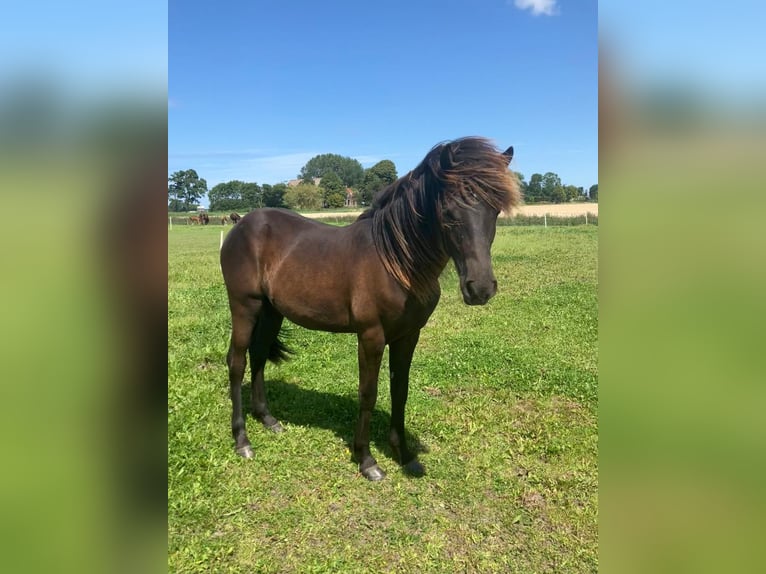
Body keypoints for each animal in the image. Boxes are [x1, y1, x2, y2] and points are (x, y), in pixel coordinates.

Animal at [222, 136, 520, 482]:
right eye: (448, 210)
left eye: (495, 210)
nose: (480, 288)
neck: (396, 263)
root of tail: (242, 224)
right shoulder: (371, 336)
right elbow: (368, 392)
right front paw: (366, 460)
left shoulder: (408, 336)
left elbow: (400, 390)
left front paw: (404, 455)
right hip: (245, 307)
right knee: (237, 362)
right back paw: (242, 440)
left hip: (272, 311)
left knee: (258, 355)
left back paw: (268, 420)